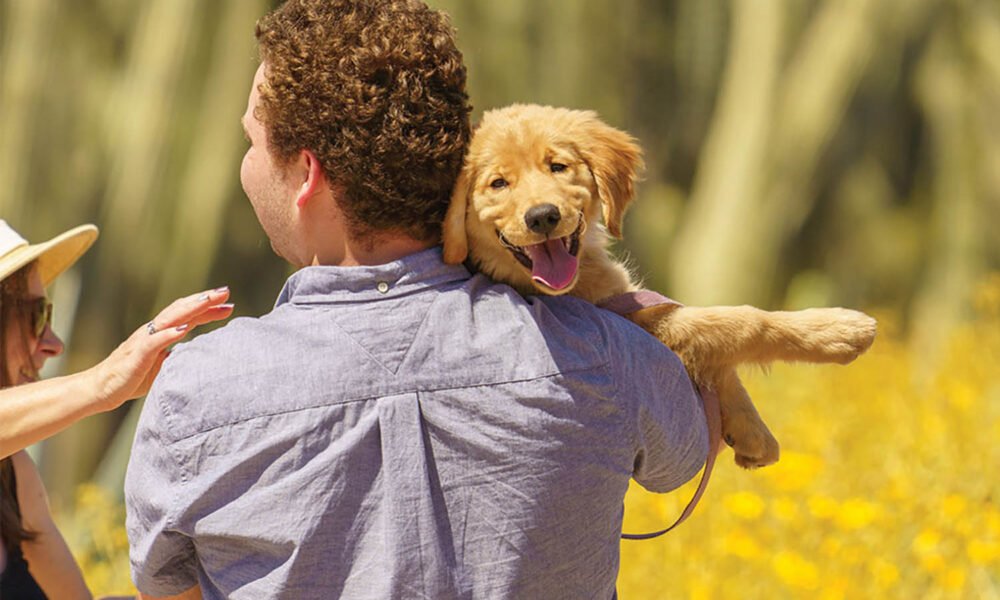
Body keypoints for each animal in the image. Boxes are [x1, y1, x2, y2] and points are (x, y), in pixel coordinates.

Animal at [444, 104, 876, 468]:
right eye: (499, 183)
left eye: (558, 166)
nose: (543, 216)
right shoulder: (633, 324)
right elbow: (737, 322)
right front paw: (838, 330)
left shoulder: (628, 304)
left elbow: (717, 352)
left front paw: (751, 431)